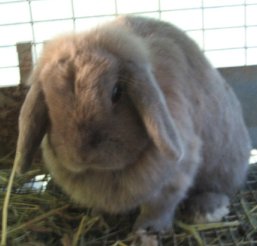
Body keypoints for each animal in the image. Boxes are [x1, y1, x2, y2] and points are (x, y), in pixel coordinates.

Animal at [14, 15, 250, 233]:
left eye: (117, 92)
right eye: (49, 100)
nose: (82, 155)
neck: (105, 172)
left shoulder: (174, 178)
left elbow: (159, 207)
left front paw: (146, 229)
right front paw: (97, 218)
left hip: (223, 165)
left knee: (218, 189)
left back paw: (206, 210)